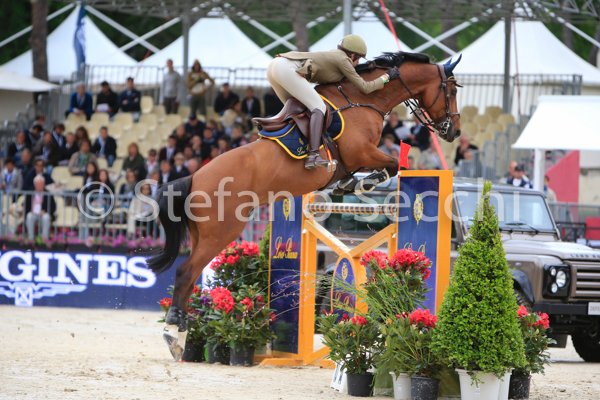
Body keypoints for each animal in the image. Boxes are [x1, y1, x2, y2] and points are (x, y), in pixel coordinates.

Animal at [147, 51, 463, 359]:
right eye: (451, 90)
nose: (454, 132)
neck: (363, 99)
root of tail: (195, 177)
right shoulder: (362, 152)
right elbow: (393, 165)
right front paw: (363, 183)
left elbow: (385, 167)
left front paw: (349, 184)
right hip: (222, 231)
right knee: (185, 272)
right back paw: (173, 332)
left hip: (203, 234)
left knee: (190, 277)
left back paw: (181, 335)